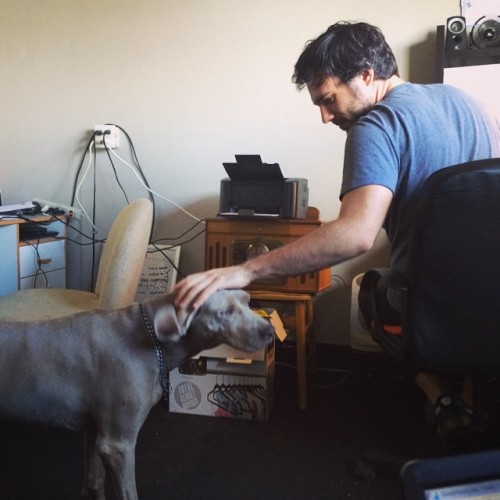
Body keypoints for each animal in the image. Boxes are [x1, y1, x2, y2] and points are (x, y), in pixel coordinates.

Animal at [0, 288, 274, 498]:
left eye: (247, 301)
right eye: (224, 312)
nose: (270, 331)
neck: (151, 338)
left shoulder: (95, 430)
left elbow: (94, 483)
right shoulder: (117, 445)